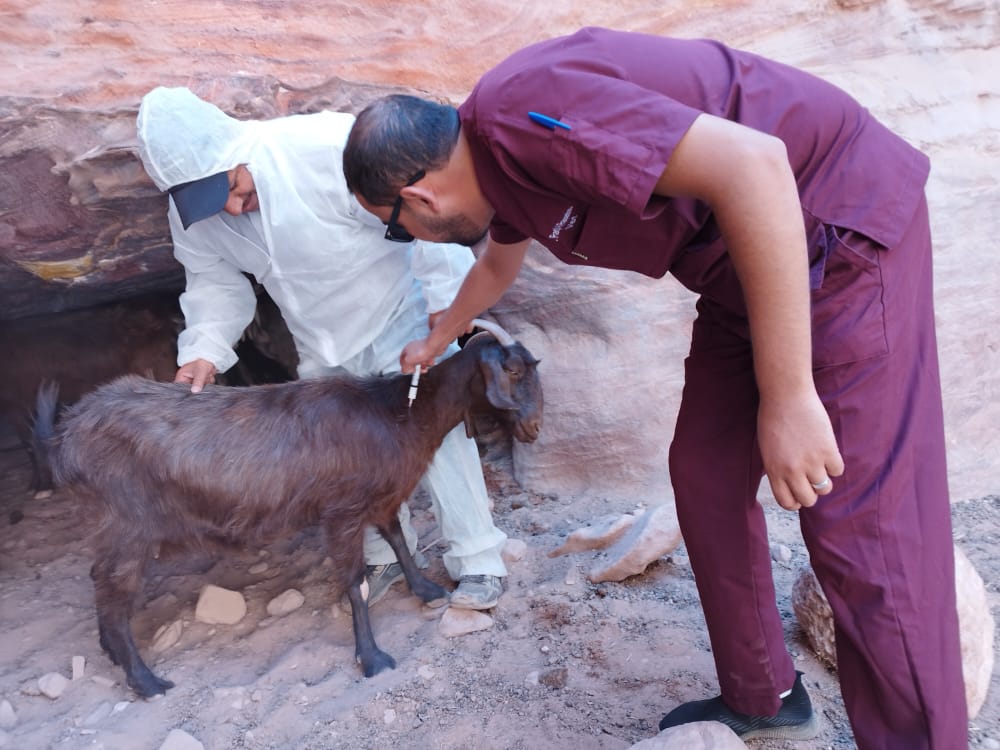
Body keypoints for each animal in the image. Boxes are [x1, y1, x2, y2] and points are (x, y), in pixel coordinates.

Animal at [35, 320, 544, 704]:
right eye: (513, 370)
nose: (536, 427)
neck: (399, 413)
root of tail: (64, 435)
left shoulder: (379, 499)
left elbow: (399, 540)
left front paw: (426, 590)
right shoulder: (341, 511)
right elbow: (354, 583)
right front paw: (372, 658)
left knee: (101, 584)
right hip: (127, 524)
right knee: (112, 595)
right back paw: (144, 680)